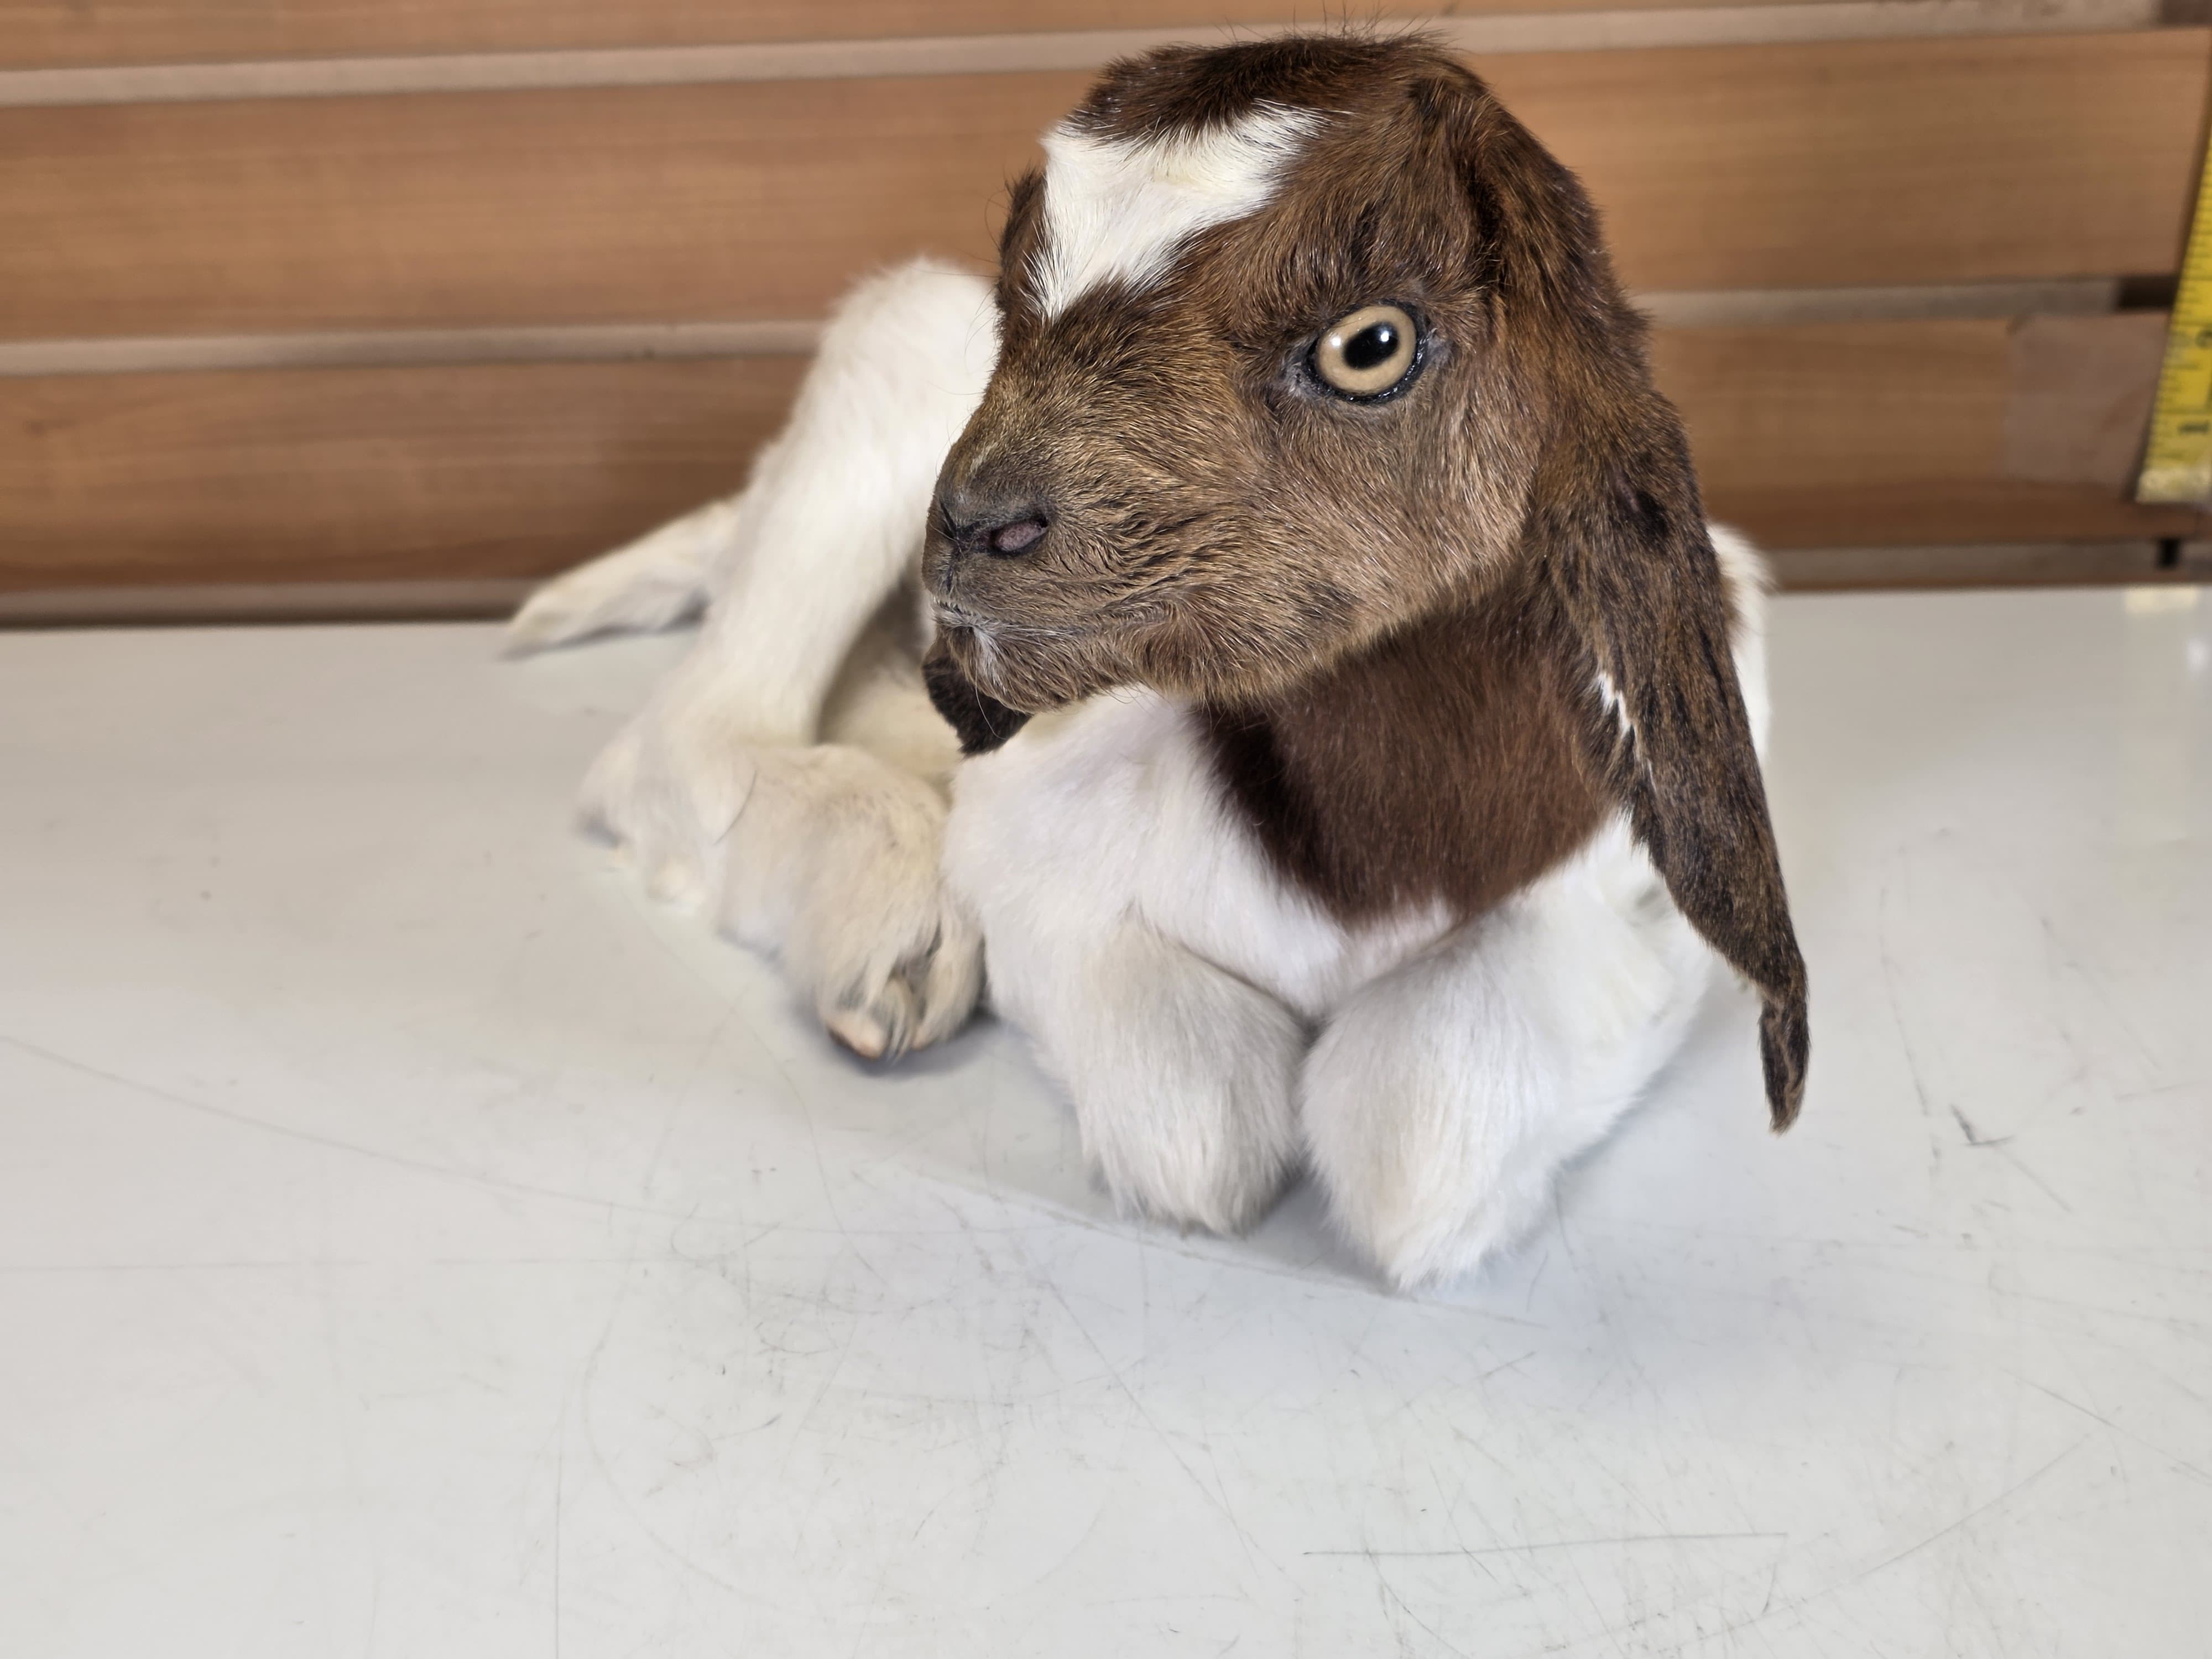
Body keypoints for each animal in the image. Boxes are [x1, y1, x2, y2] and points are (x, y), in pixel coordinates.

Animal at [511, 34, 1809, 1288]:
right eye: (1020, 299)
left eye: (1371, 345)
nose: (976, 522)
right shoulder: (1034, 845)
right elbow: (1202, 1122)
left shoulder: (1628, 898)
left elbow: (1415, 1129)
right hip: (885, 379)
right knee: (685, 736)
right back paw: (893, 927)